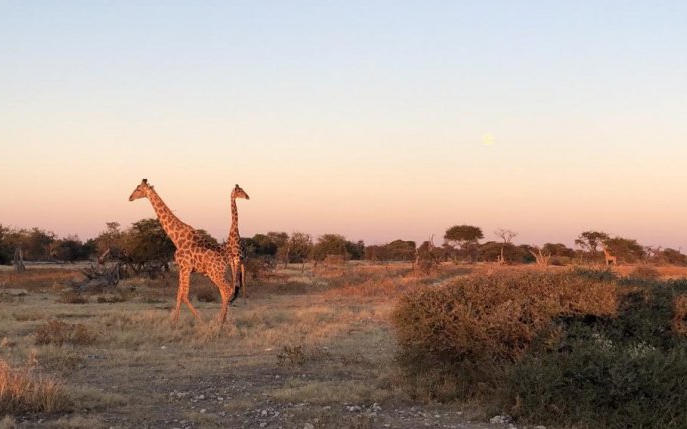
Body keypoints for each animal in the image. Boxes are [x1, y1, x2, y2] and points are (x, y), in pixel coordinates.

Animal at [129, 179, 236, 322]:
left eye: (139, 189)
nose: (130, 198)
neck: (177, 238)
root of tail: (228, 257)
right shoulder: (182, 267)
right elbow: (179, 294)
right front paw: (174, 321)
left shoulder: (185, 267)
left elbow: (184, 295)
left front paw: (200, 320)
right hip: (221, 273)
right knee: (227, 290)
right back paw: (222, 320)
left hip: (215, 273)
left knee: (227, 290)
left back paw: (219, 321)